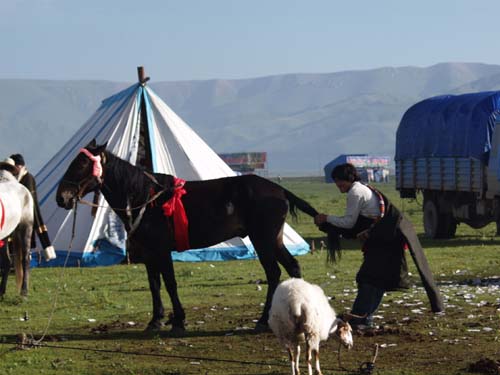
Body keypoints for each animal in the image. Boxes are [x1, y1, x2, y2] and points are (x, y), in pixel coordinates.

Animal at [54, 140, 320, 332]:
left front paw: (179, 320)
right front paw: (156, 320)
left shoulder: (161, 250)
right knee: (292, 267)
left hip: (262, 239)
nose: (61, 198)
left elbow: (170, 283)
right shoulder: (148, 253)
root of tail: (279, 190)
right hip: (274, 239)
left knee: (273, 273)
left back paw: (264, 320)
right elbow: (154, 284)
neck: (145, 198)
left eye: (81, 165)